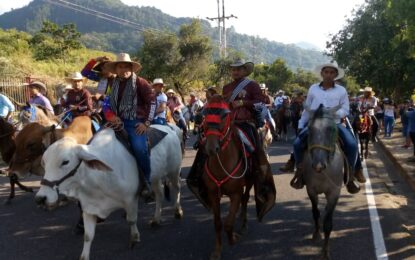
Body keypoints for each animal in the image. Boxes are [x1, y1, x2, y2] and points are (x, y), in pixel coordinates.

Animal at [35, 128, 140, 260]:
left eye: (65, 162)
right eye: (44, 163)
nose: (41, 198)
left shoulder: (131, 200)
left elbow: (131, 220)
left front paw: (135, 238)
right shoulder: (89, 209)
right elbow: (88, 236)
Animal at [202, 95, 255, 260]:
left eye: (225, 115)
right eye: (205, 114)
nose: (211, 148)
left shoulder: (235, 194)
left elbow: (228, 223)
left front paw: (232, 238)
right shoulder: (213, 195)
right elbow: (218, 223)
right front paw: (217, 251)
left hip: (249, 183)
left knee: (245, 199)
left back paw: (243, 224)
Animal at [304, 104, 346, 258]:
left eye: (331, 129)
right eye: (309, 128)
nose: (318, 164)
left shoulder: (334, 193)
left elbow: (328, 223)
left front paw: (325, 251)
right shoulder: (311, 190)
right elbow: (316, 213)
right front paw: (316, 234)